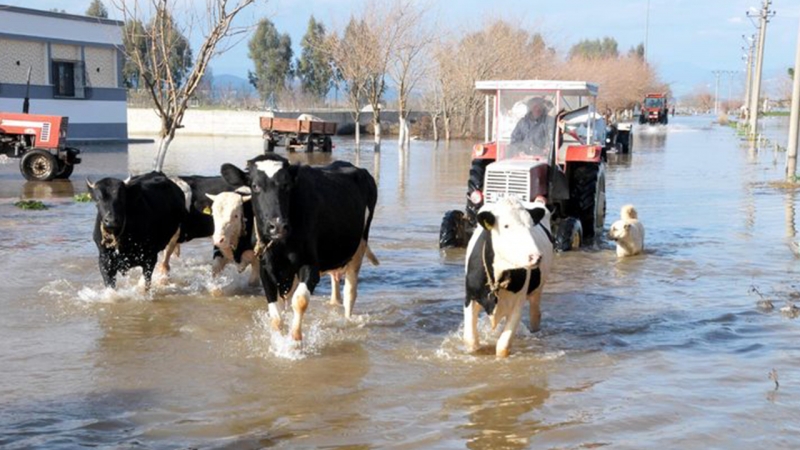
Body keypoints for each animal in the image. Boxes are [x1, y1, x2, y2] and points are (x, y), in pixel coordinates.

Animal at [220, 155, 380, 342]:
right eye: (255, 186)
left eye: (287, 185)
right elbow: (276, 314)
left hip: (359, 246)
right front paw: (278, 339)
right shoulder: (266, 268)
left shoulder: (310, 265)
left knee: (350, 292)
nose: (277, 226)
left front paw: (295, 341)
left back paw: (347, 321)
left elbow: (300, 300)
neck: (282, 245)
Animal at [460, 198, 552, 358]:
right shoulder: (470, 297)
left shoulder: (517, 305)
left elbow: (503, 347)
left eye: (531, 225)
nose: (535, 257)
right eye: (506, 225)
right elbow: (471, 340)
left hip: (537, 291)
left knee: (535, 314)